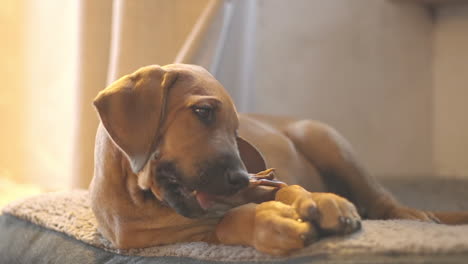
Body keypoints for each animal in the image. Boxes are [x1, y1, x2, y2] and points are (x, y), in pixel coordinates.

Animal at [90, 64, 468, 256]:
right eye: (203, 112)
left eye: (237, 131)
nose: (242, 178)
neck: (145, 199)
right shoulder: (192, 230)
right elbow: (230, 221)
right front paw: (273, 223)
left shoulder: (265, 182)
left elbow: (289, 189)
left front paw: (322, 203)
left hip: (326, 139)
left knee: (380, 199)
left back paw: (412, 215)